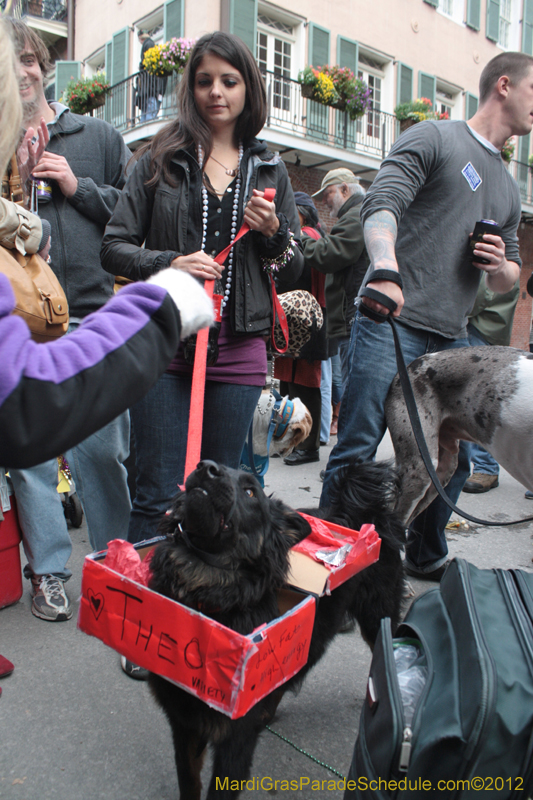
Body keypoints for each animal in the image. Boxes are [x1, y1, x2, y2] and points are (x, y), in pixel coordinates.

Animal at [147, 460, 404, 796]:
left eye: (250, 492)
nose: (206, 466)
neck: (205, 595)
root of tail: (368, 513)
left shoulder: (234, 739)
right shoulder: (184, 722)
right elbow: (188, 782)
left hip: (376, 620)